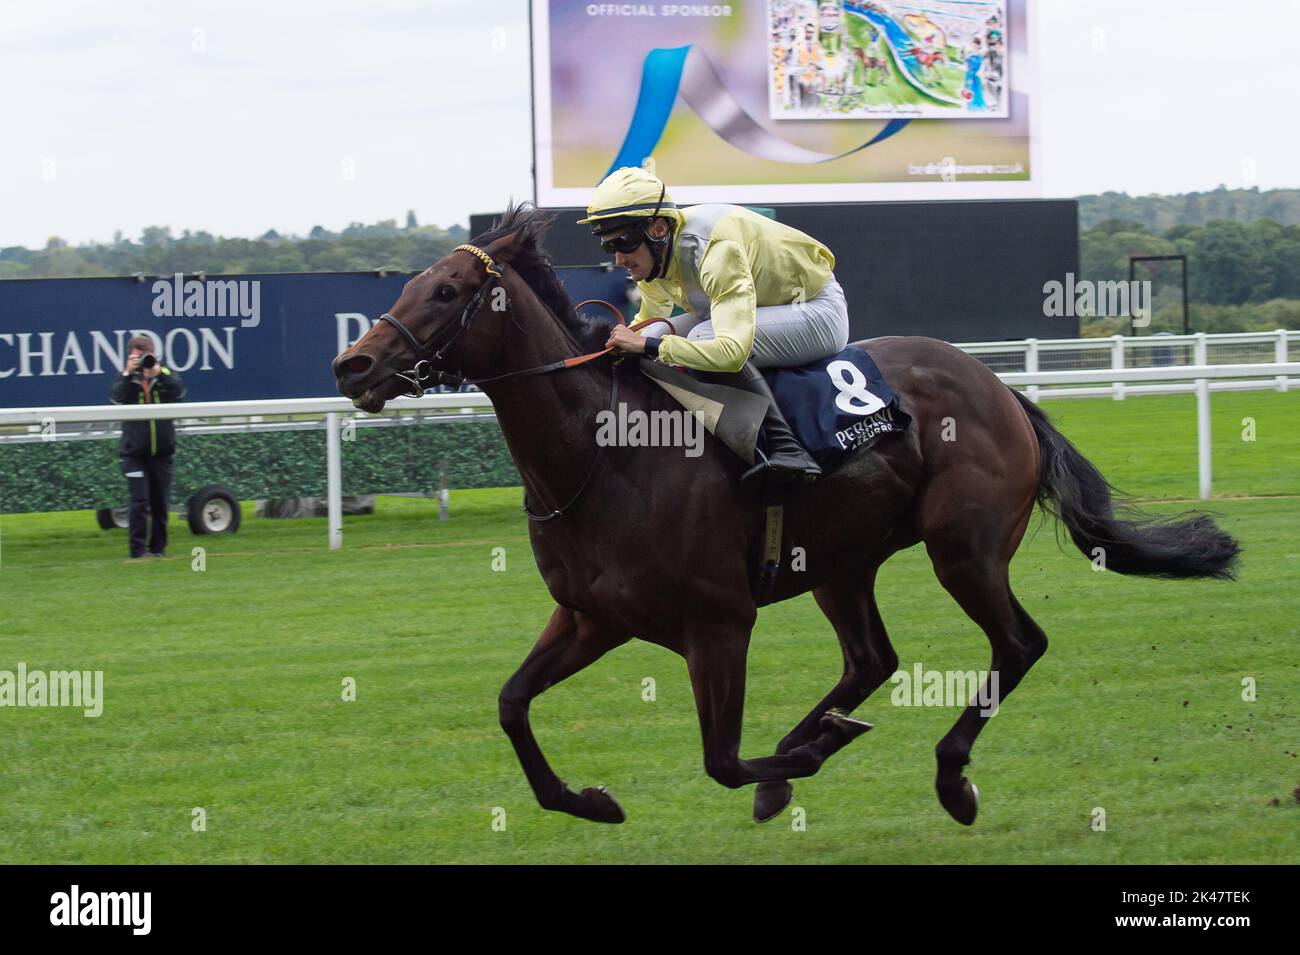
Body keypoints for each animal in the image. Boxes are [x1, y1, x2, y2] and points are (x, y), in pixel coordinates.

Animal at [330, 209, 1232, 831]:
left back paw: (946, 775)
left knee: (1017, 643)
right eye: (406, 284)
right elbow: (512, 704)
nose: (353, 363)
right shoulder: (592, 616)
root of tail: (1002, 388)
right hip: (842, 561)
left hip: (963, 549)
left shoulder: (718, 621)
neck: (604, 455)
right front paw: (591, 798)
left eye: (447, 291)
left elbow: (721, 759)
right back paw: (821, 738)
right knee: (871, 659)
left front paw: (788, 761)